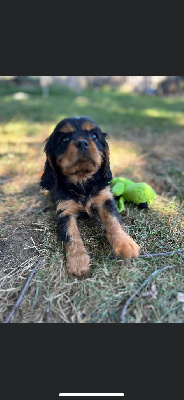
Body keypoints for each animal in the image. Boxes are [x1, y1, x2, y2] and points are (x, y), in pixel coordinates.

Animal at [41, 117, 140, 276]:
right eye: (64, 139)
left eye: (94, 136)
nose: (82, 142)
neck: (82, 182)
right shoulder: (65, 211)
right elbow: (71, 235)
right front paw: (78, 262)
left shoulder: (105, 200)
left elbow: (113, 221)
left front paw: (125, 244)